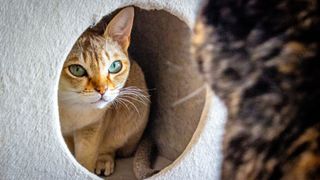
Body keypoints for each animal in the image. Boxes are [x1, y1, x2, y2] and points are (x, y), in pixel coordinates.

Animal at [57, 7, 150, 177]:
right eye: (77, 70)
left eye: (114, 66)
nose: (102, 90)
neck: (71, 109)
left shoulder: (92, 126)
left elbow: (85, 157)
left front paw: (83, 170)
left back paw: (103, 160)